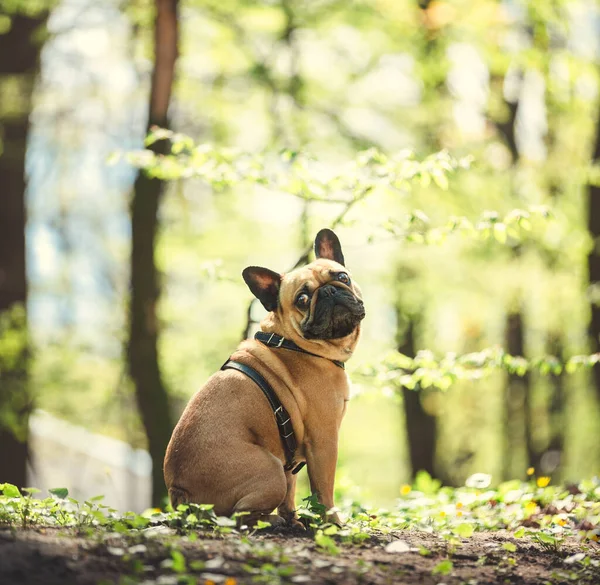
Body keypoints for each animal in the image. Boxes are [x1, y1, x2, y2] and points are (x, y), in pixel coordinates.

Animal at [162, 228, 364, 524]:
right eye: (302, 300)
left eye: (342, 277)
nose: (329, 290)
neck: (292, 342)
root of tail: (179, 492)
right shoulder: (324, 439)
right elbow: (324, 490)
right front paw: (333, 523)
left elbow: (292, 489)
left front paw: (294, 518)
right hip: (271, 469)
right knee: (238, 517)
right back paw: (269, 521)